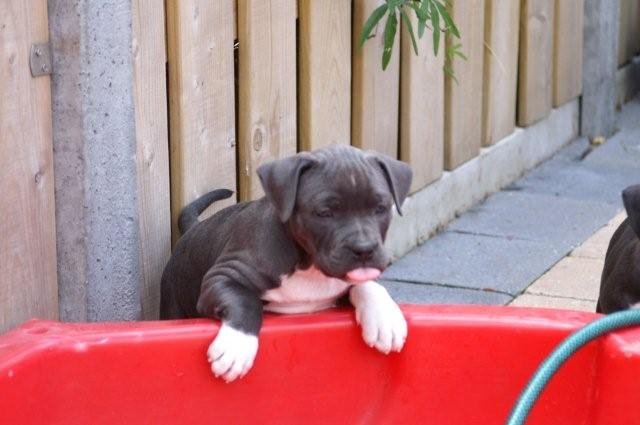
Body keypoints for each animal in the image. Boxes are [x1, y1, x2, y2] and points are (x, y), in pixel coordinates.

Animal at [160, 145, 412, 382]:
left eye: (381, 208)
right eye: (324, 212)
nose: (364, 249)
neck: (309, 266)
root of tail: (193, 228)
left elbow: (368, 285)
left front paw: (385, 319)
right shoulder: (221, 277)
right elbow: (246, 299)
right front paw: (237, 345)